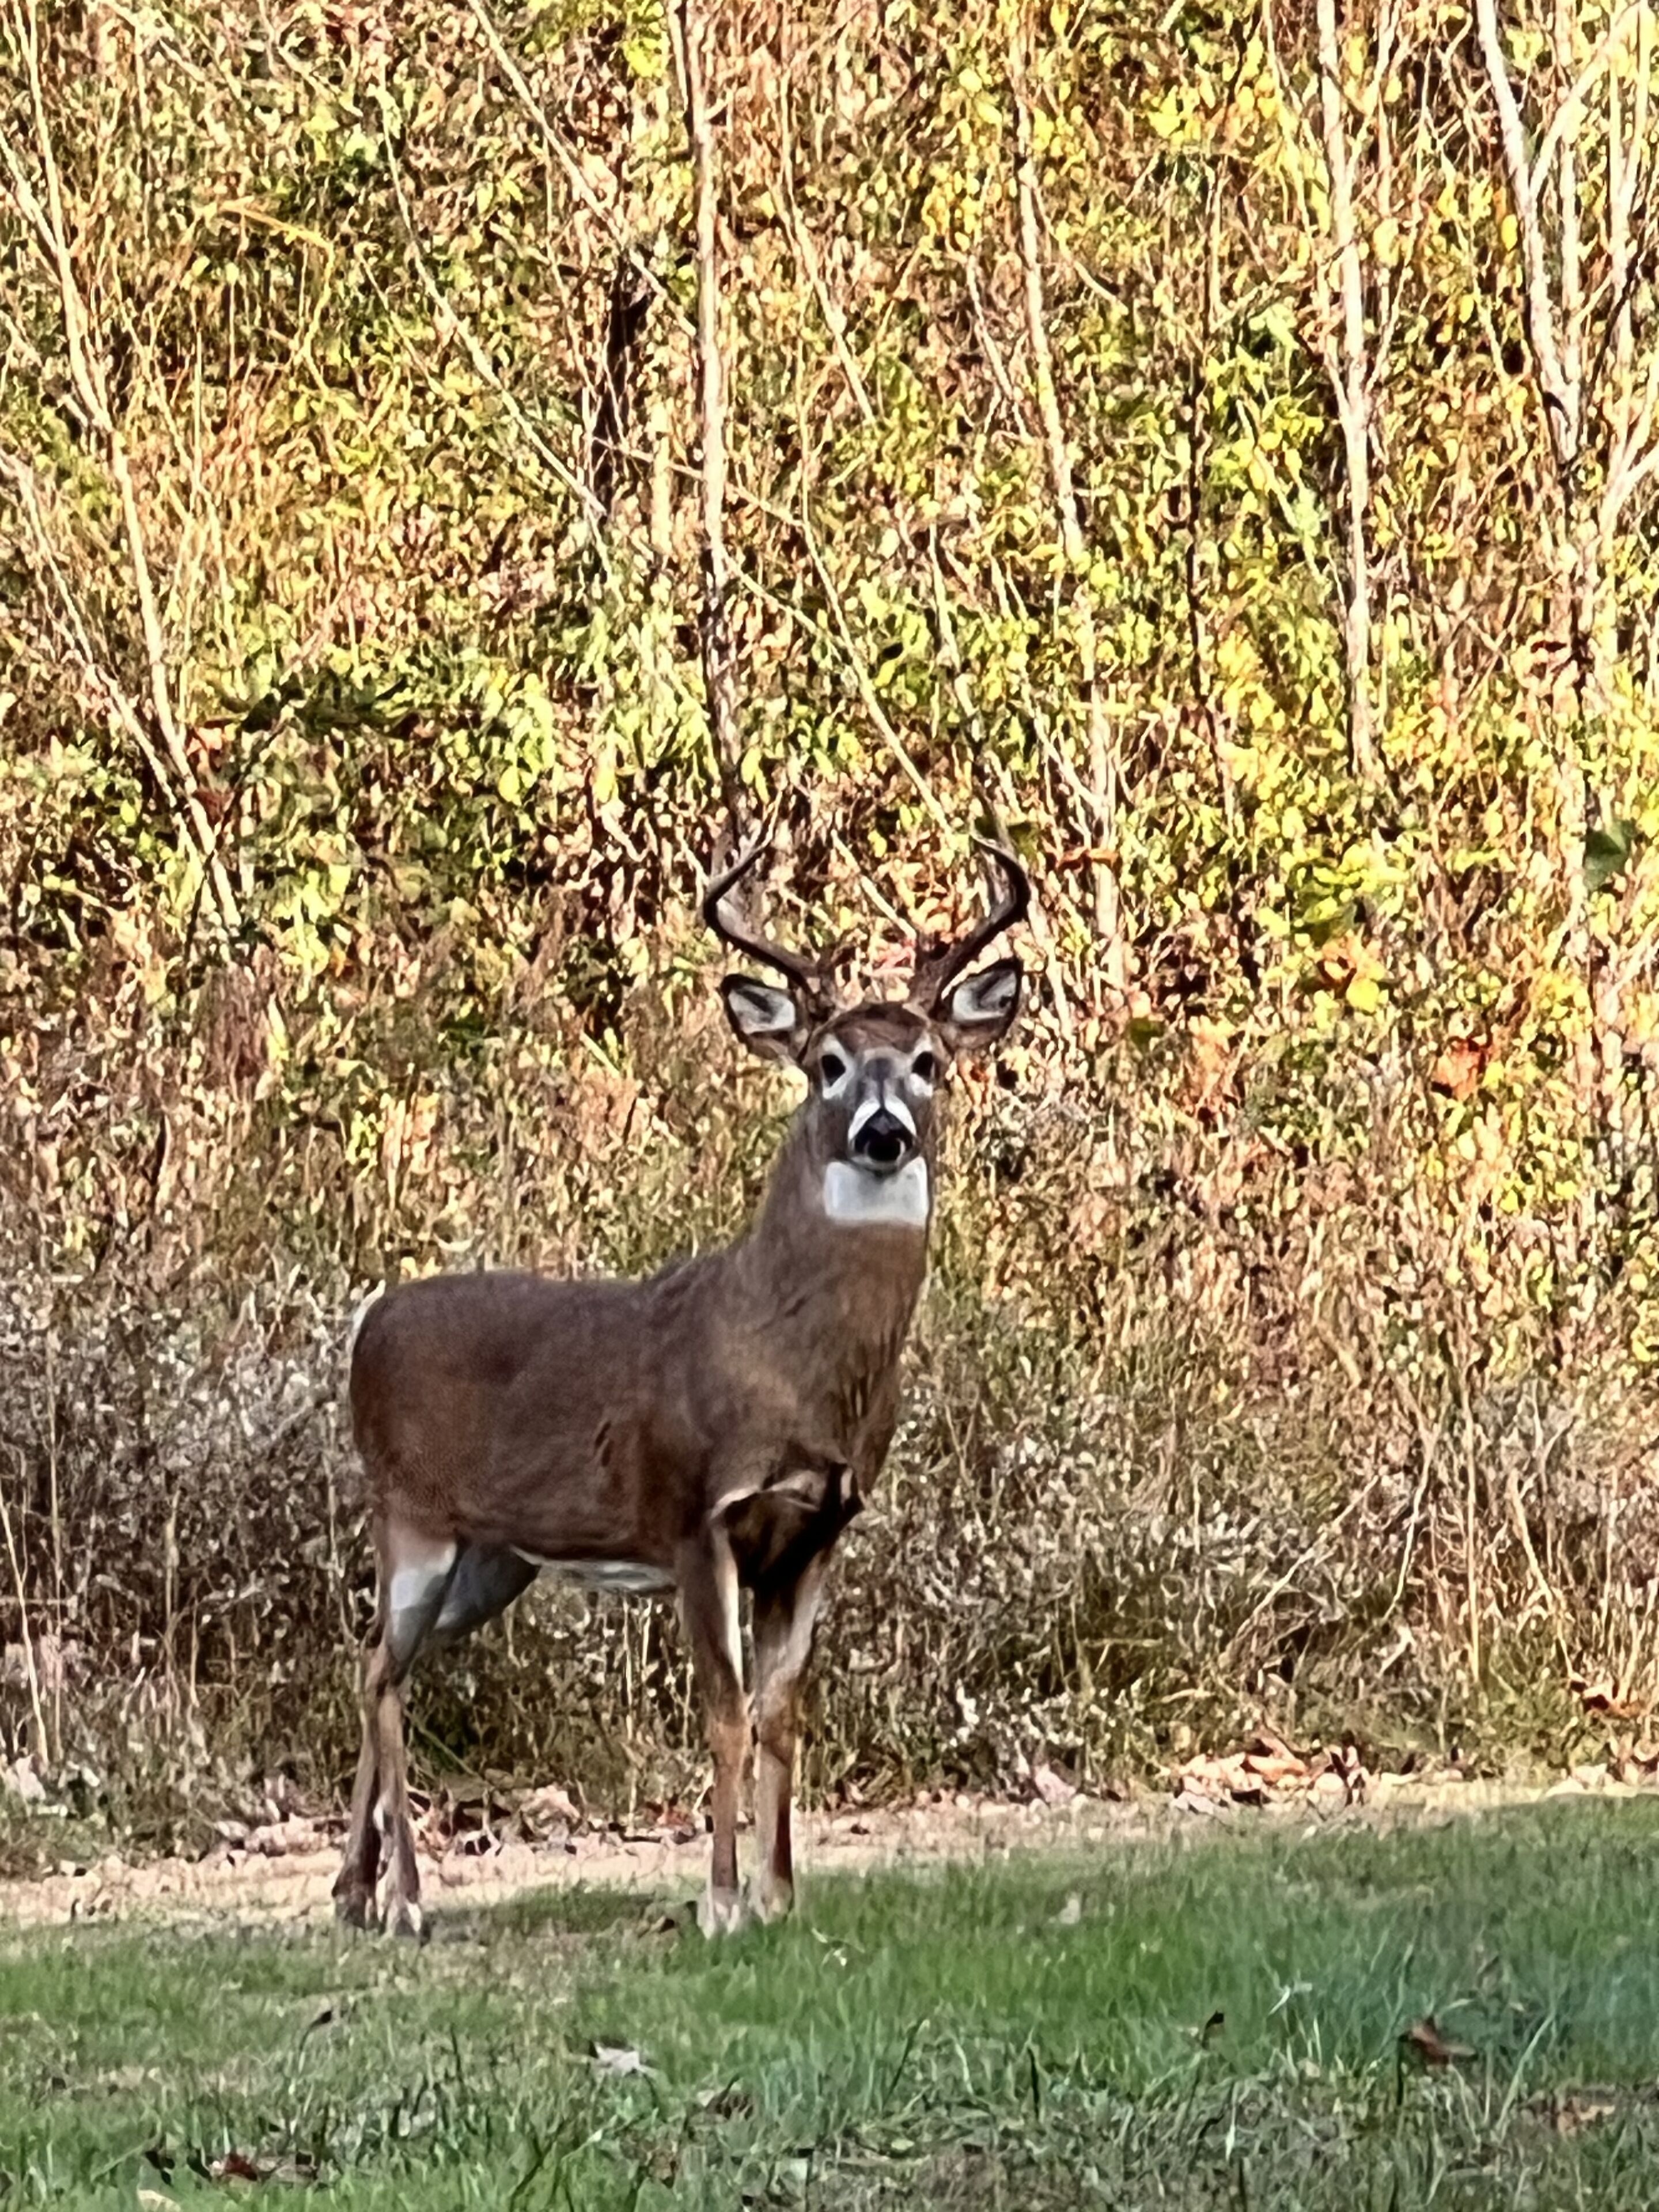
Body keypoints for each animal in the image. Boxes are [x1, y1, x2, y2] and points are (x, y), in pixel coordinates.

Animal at [332, 837, 1029, 1938]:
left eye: (927, 1063)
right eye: (829, 1065)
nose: (883, 1132)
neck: (787, 1366)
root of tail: (368, 1322)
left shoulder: (819, 1530)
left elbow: (783, 1710)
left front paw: (784, 1897)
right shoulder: (700, 1516)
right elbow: (726, 1712)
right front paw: (721, 1900)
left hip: (494, 1556)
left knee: (375, 1662)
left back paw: (353, 1891)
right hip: (412, 1517)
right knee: (385, 1676)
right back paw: (404, 1898)